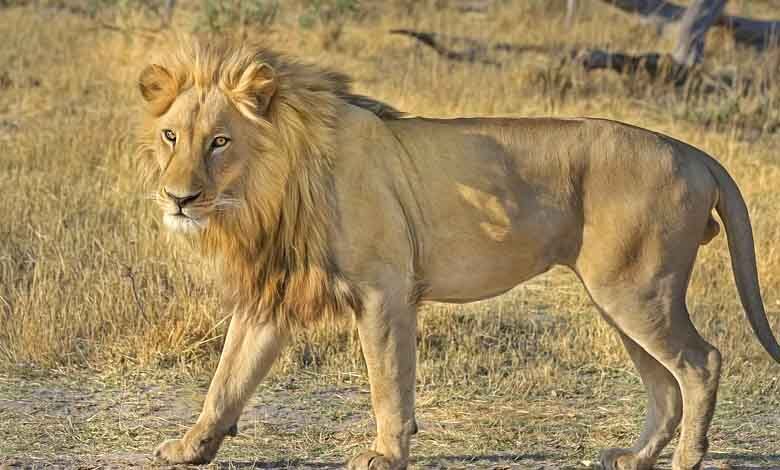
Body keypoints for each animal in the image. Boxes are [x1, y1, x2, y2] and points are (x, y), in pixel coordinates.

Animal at [136, 38, 780, 470]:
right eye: (172, 136)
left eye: (220, 141)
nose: (178, 198)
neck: (267, 191)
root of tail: (692, 150)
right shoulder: (271, 295)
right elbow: (227, 380)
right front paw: (189, 447)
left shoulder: (384, 290)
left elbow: (389, 382)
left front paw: (386, 453)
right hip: (620, 296)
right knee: (664, 384)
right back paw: (636, 456)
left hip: (636, 290)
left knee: (701, 362)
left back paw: (687, 459)